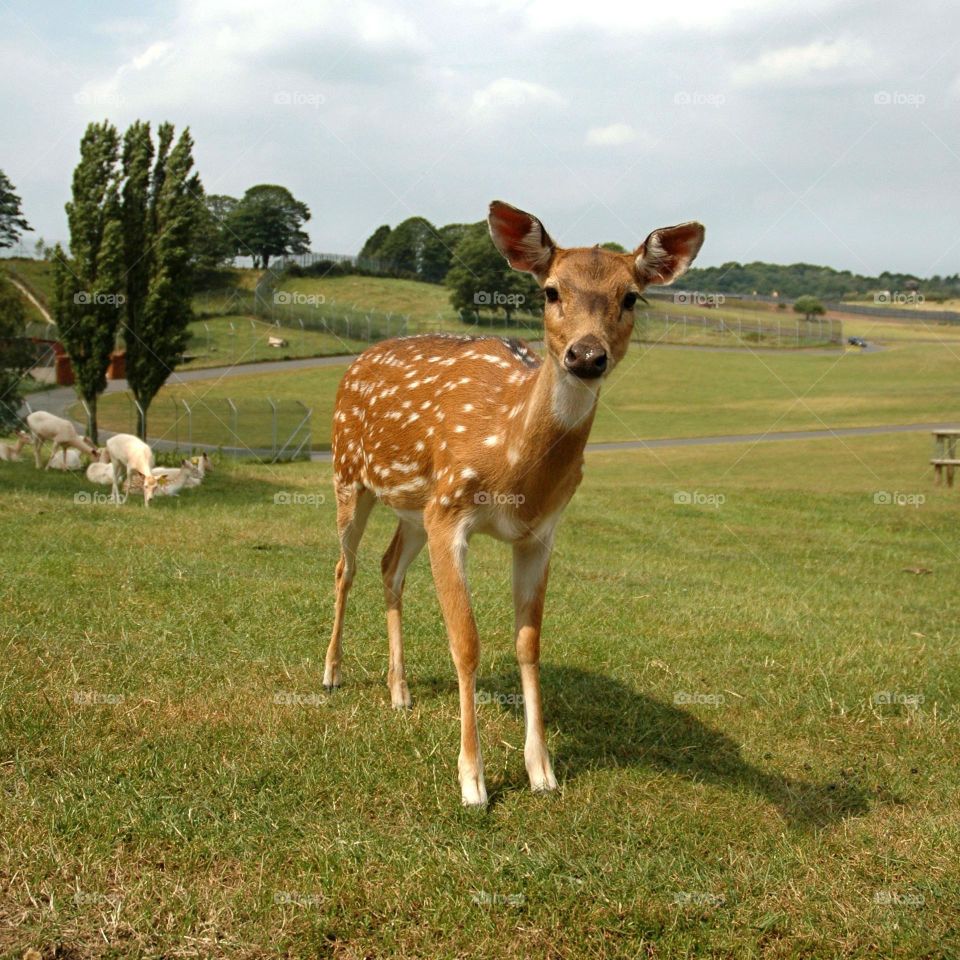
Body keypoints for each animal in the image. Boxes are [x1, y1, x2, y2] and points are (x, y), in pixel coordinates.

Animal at [324, 200, 704, 807]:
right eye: (550, 290)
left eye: (631, 297)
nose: (586, 355)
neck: (511, 462)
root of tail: (356, 359)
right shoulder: (450, 511)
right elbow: (467, 643)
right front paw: (472, 780)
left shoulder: (538, 533)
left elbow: (528, 644)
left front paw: (542, 770)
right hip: (348, 473)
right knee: (345, 567)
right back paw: (332, 674)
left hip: (413, 507)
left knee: (388, 567)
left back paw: (399, 690)